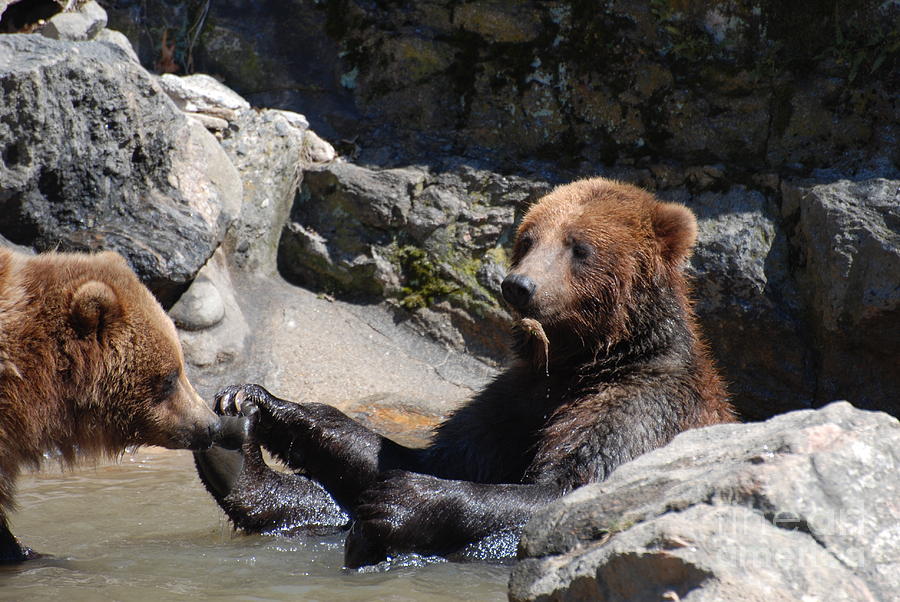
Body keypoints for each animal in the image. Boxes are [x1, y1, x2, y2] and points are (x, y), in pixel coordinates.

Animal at [193, 176, 736, 564]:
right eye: (529, 238)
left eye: (579, 247)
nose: (519, 285)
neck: (582, 362)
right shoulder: (515, 399)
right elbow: (440, 456)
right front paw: (262, 401)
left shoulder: (638, 407)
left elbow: (568, 489)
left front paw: (405, 499)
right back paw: (237, 455)